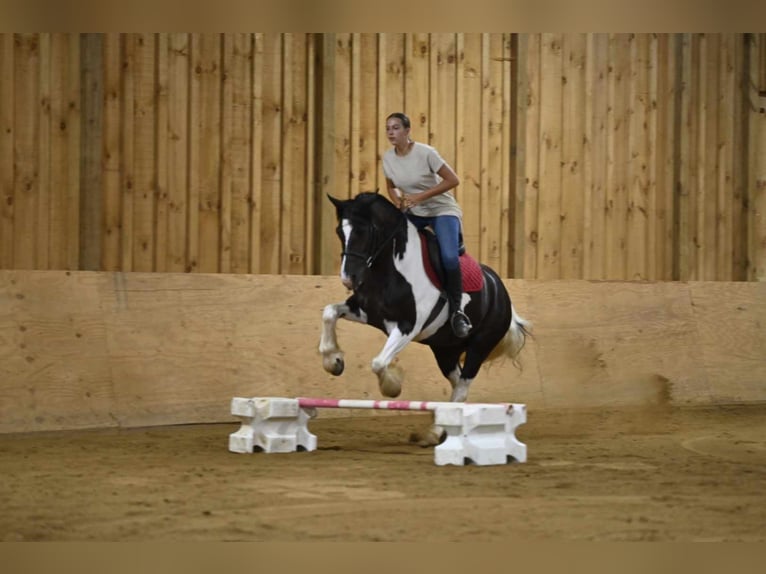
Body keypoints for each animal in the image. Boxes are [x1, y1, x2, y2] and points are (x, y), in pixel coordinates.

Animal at [320, 191, 536, 448]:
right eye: (339, 231)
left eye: (365, 231)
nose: (348, 278)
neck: (390, 269)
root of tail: (500, 290)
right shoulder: (364, 311)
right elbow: (329, 312)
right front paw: (333, 361)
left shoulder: (407, 327)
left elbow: (379, 363)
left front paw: (392, 387)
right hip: (445, 350)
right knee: (456, 383)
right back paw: (437, 430)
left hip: (480, 346)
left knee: (463, 386)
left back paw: (434, 432)